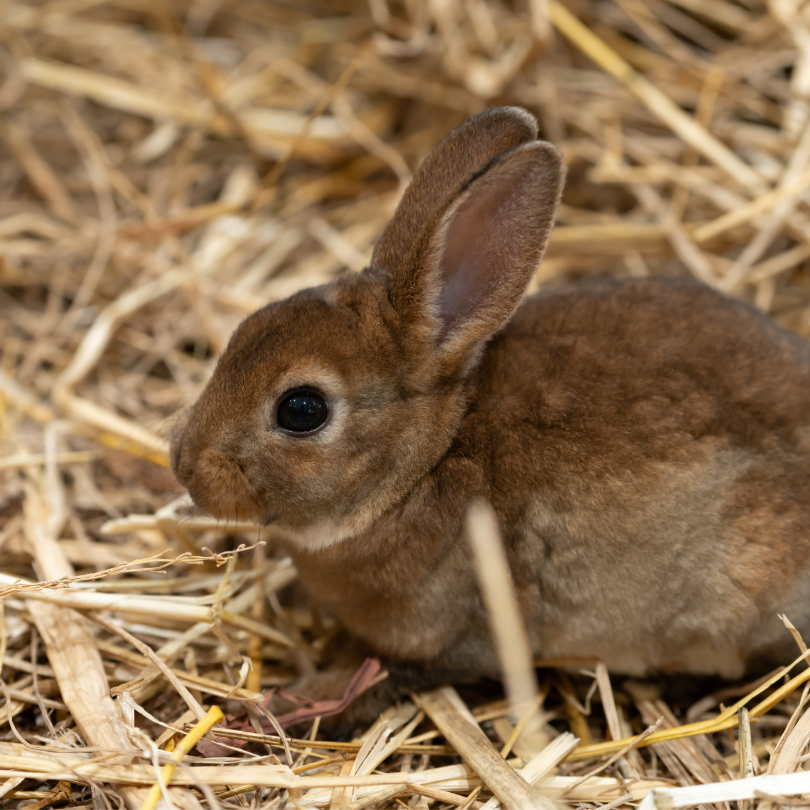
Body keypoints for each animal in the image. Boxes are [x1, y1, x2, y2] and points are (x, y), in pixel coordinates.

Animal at [171, 106, 810, 726]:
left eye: (302, 409)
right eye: (245, 329)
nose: (185, 465)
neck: (428, 462)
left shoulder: (463, 632)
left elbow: (387, 677)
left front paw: (294, 703)